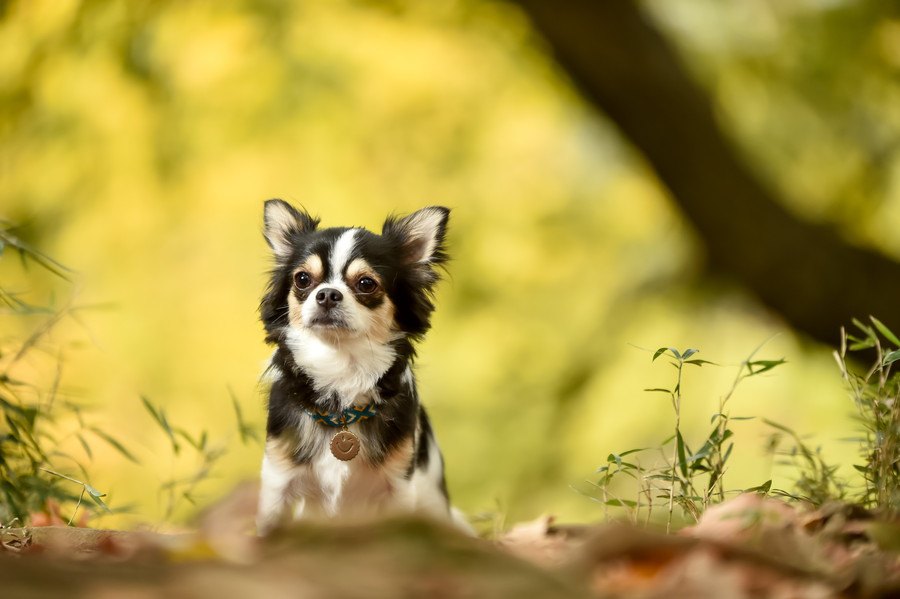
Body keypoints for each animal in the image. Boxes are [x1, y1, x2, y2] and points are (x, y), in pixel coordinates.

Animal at [255, 200, 460, 536]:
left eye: (366, 283)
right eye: (302, 279)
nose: (327, 293)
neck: (341, 367)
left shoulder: (397, 487)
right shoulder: (278, 480)